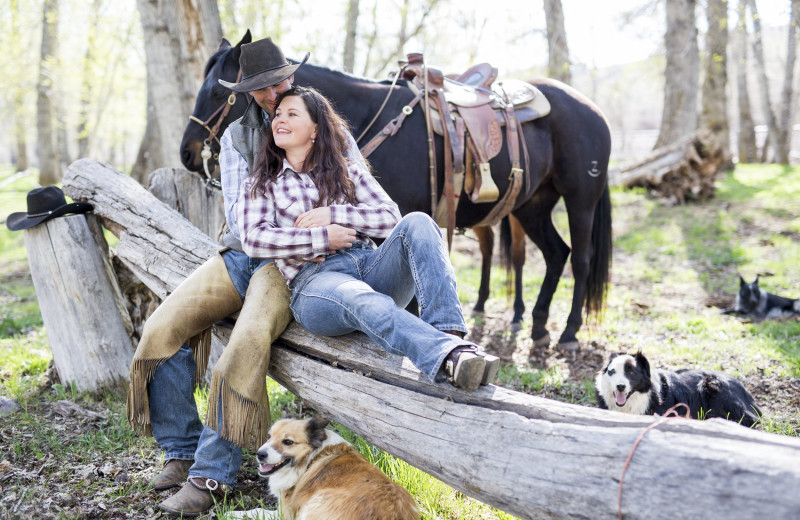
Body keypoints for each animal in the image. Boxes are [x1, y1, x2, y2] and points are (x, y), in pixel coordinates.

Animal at [181, 31, 612, 350]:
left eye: (219, 93)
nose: (187, 152)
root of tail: (592, 109)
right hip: (532, 206)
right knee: (556, 254)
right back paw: (538, 326)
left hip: (580, 201)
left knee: (580, 259)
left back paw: (569, 332)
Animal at [255, 414, 418, 520]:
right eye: (269, 436)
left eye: (288, 442)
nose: (259, 454)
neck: (311, 457)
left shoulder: (285, 514)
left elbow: (257, 510)